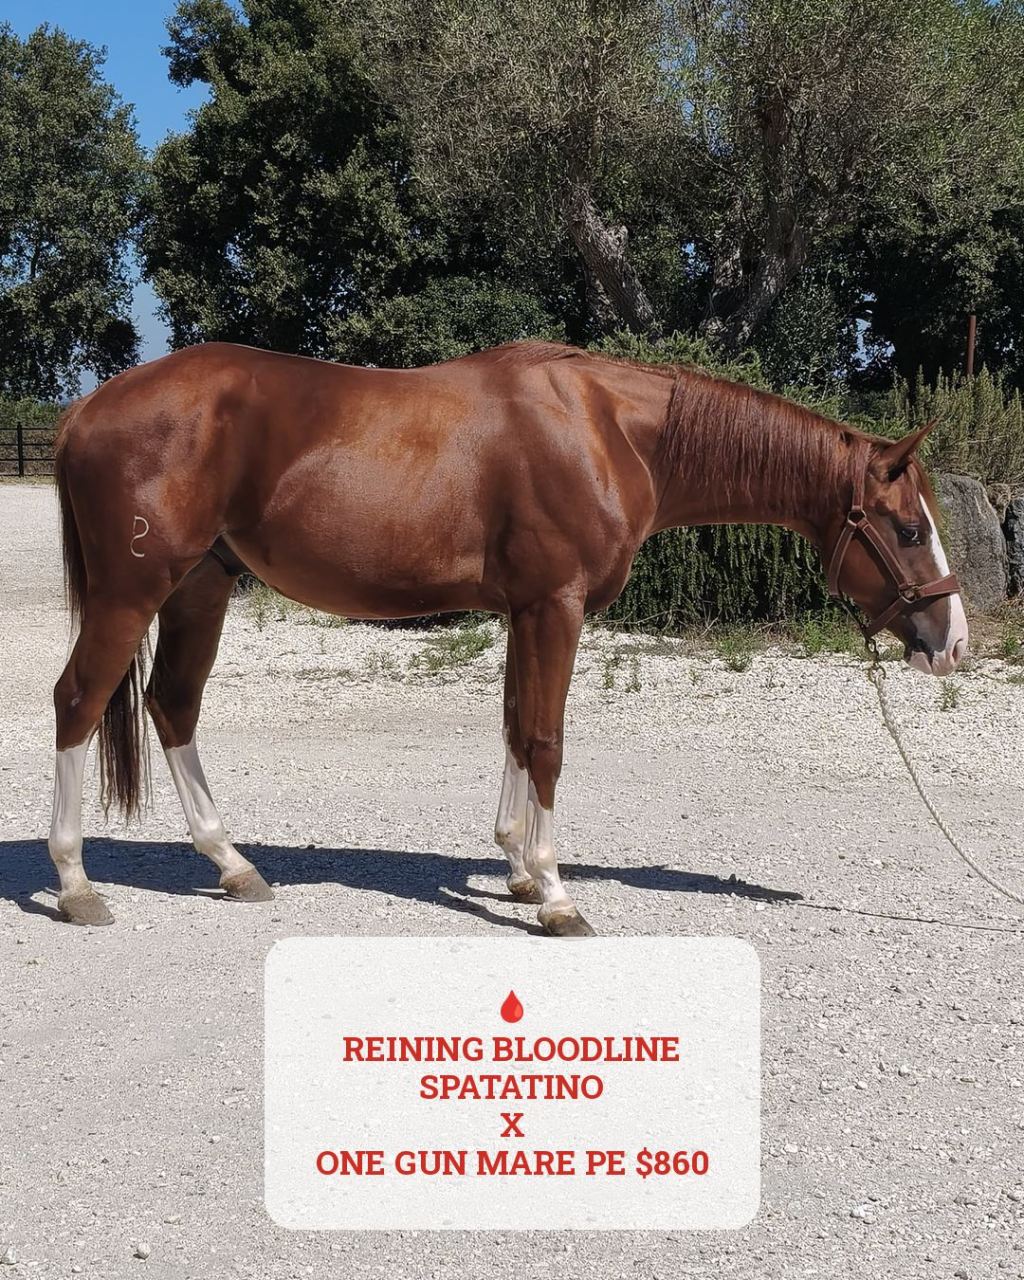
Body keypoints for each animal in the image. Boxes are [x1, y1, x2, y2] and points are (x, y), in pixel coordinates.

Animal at [48, 340, 967, 936]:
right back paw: (76, 883)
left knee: (173, 706)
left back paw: (233, 865)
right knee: (79, 702)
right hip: (133, 592)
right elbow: (548, 739)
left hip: (201, 587)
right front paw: (557, 894)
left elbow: (517, 730)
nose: (952, 641)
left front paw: (519, 870)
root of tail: (86, 408)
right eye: (910, 528)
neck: (607, 428)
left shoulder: (525, 610)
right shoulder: (556, 606)